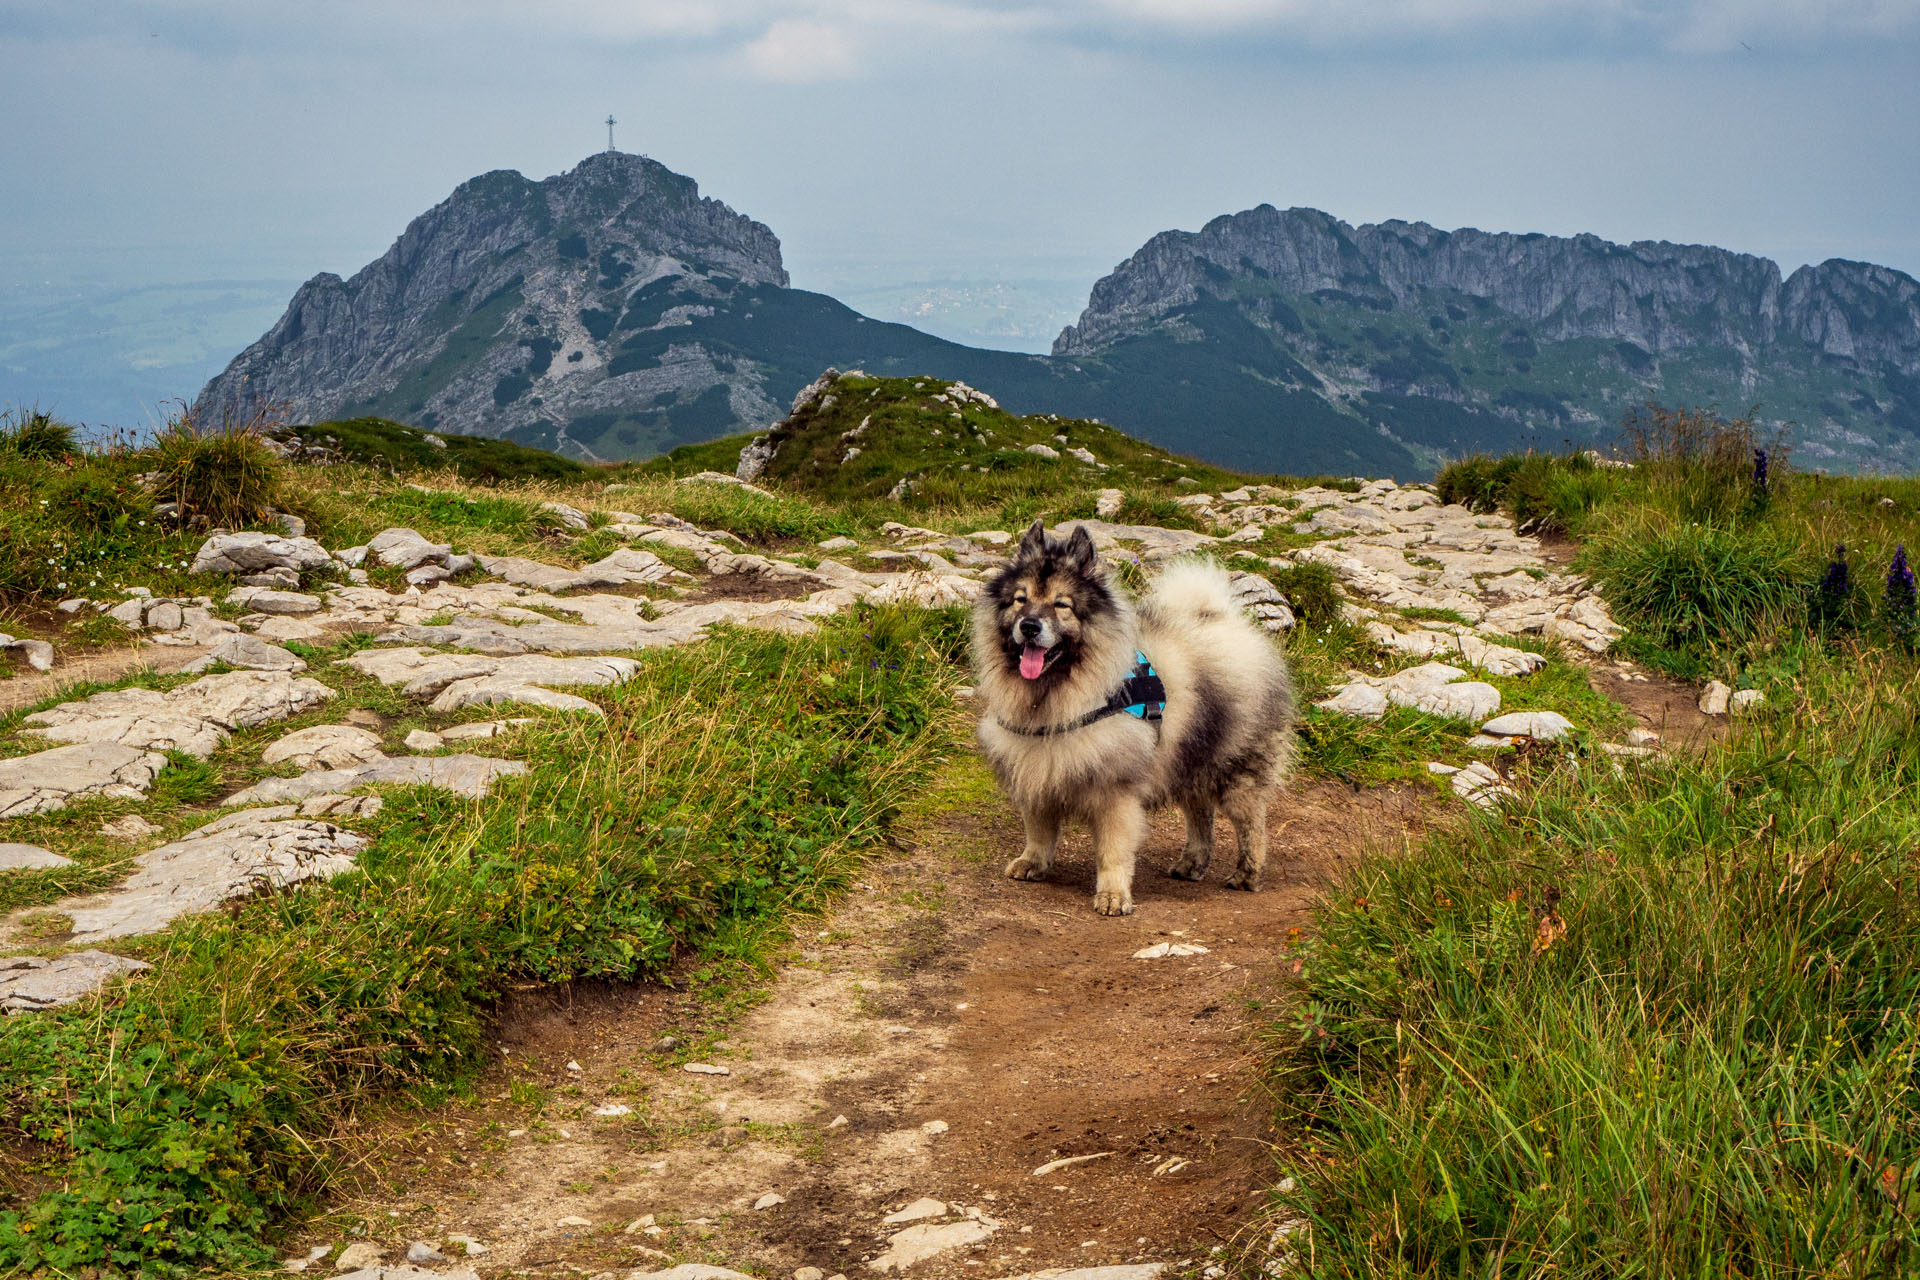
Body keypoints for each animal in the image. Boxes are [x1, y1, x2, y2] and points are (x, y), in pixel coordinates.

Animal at [967, 525, 1297, 917]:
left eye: (1062, 605)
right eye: (1020, 599)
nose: (1030, 626)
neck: (1056, 698)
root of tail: (1219, 620)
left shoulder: (1116, 792)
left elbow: (1113, 851)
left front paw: (1113, 895)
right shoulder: (1036, 770)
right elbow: (1039, 830)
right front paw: (1033, 862)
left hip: (1236, 767)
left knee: (1251, 824)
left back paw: (1248, 873)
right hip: (1188, 758)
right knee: (1200, 814)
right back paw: (1192, 863)